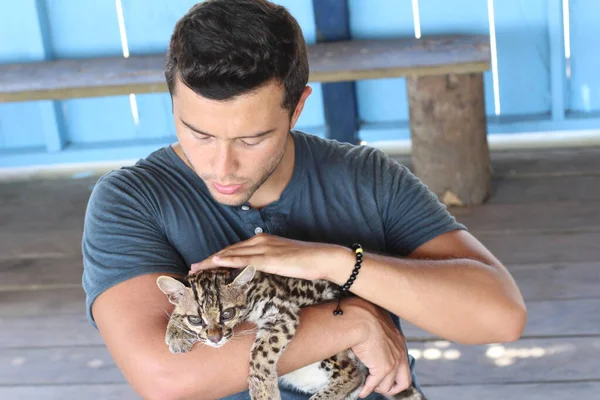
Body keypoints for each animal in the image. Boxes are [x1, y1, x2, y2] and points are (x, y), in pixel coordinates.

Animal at [156, 266, 426, 400]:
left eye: (227, 314)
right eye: (196, 319)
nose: (215, 338)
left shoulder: (282, 311)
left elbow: (261, 354)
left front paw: (263, 392)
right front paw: (176, 332)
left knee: (353, 375)